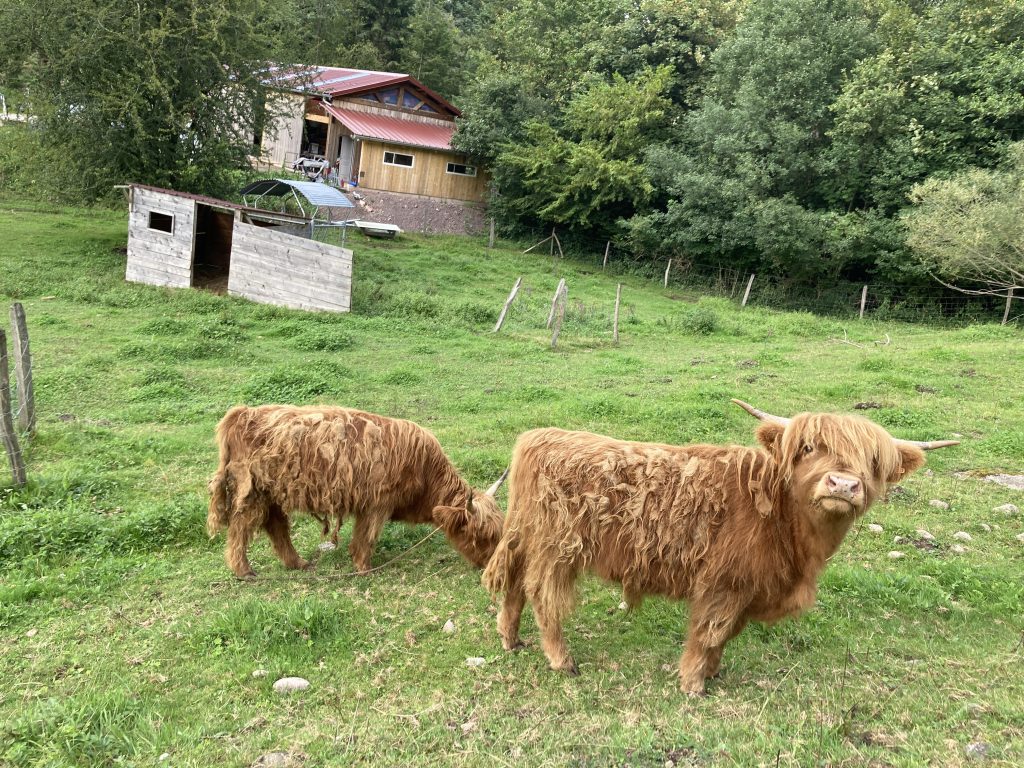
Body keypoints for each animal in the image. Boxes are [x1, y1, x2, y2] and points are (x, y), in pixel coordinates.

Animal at [206, 405, 503, 581]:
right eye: (482, 536)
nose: (490, 566)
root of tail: (241, 413)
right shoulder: (377, 505)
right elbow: (366, 537)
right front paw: (364, 568)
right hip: (253, 493)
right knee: (241, 528)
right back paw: (244, 570)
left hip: (272, 494)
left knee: (276, 526)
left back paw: (298, 563)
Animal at [483, 399, 954, 696]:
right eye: (807, 447)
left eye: (874, 463)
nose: (843, 484)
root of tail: (538, 437)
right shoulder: (724, 583)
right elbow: (708, 632)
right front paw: (693, 685)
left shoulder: (748, 589)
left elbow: (725, 636)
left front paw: (713, 673)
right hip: (558, 547)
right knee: (542, 595)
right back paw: (562, 660)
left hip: (529, 538)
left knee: (515, 586)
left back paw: (510, 640)